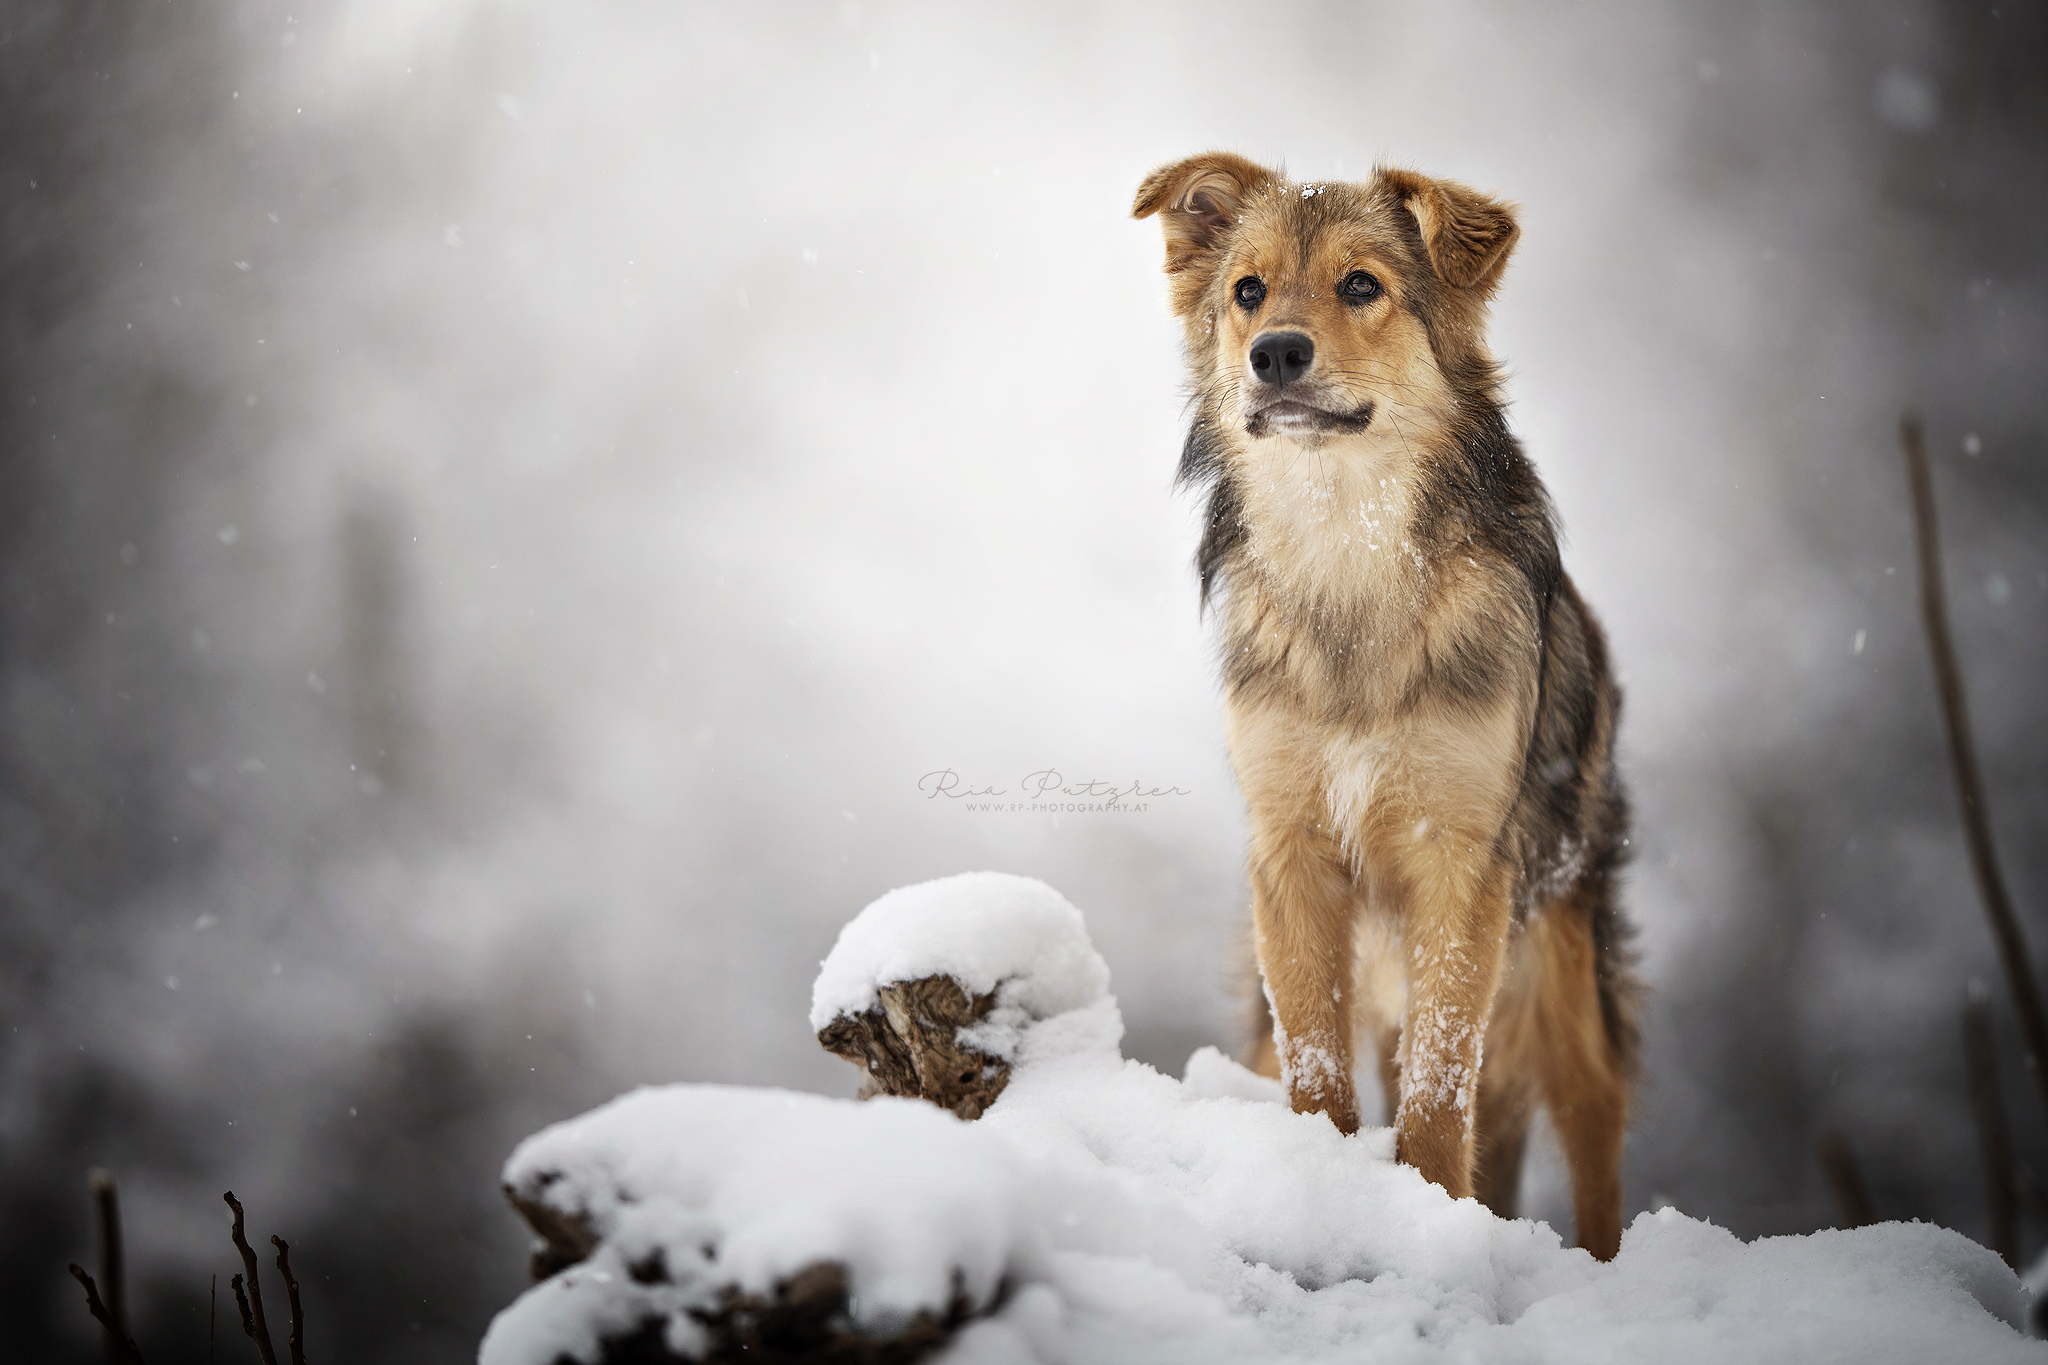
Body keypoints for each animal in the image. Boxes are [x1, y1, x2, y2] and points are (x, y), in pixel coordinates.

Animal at [1130, 152, 1638, 1260]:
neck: (1347, 549)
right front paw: (1321, 1197)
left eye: (1361, 285)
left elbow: (1441, 1084)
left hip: (1560, 958)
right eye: (1248, 291)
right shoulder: (1290, 852)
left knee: (1590, 1118)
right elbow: (1319, 1066)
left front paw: (1433, 1212)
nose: (1274, 353)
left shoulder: (1463, 864)